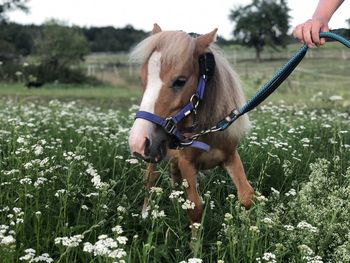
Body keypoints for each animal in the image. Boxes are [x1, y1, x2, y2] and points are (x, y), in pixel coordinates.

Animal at [129, 24, 254, 226]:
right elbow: (195, 208)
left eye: (180, 81)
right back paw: (145, 213)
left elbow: (246, 196)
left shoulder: (231, 157)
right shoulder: (187, 164)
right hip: (154, 159)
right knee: (150, 179)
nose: (138, 143)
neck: (207, 133)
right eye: (142, 80)